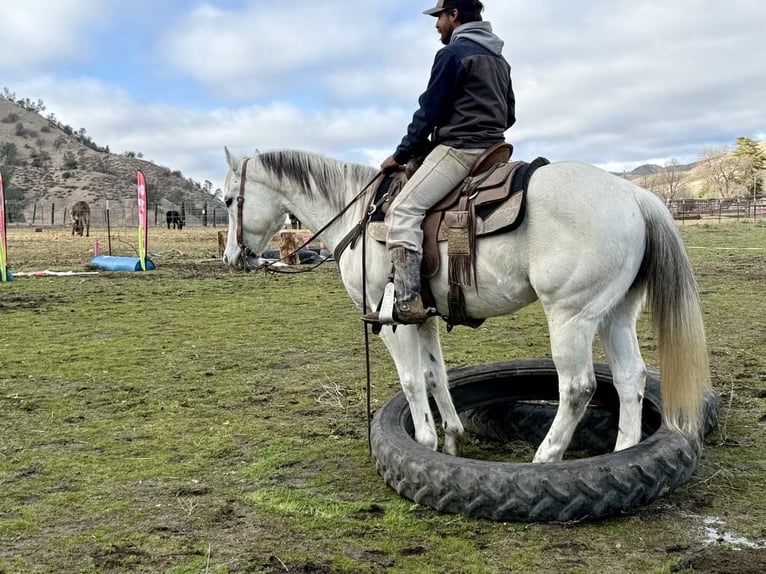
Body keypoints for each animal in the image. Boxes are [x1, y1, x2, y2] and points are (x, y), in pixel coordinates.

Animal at [220, 147, 710, 463]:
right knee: (629, 378)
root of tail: (634, 196)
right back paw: (625, 451)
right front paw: (453, 437)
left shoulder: (389, 320)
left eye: (227, 199)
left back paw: (545, 457)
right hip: (614, 314)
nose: (231, 257)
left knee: (577, 388)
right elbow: (435, 376)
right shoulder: (421, 317)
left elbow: (411, 380)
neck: (360, 218)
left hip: (571, 317)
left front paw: (425, 442)